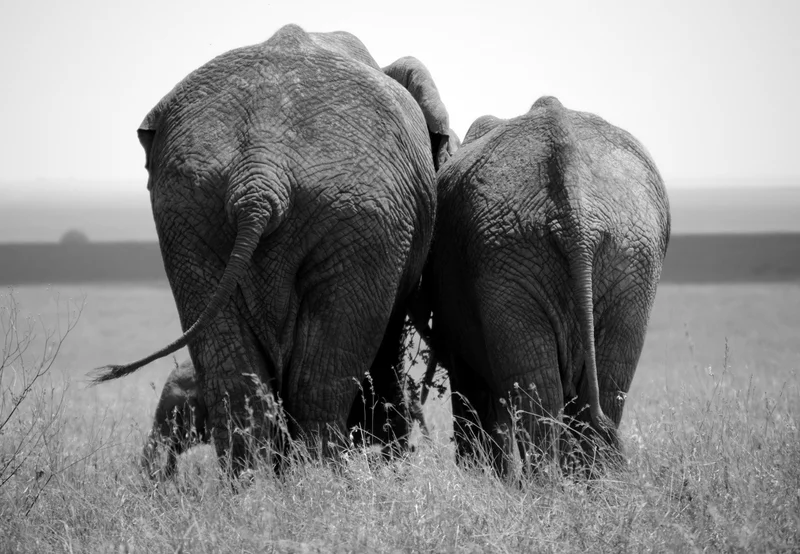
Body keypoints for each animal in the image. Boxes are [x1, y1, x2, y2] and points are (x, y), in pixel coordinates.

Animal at [92, 24, 453, 474]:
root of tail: (260, 176)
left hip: (188, 211)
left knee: (237, 378)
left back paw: (254, 487)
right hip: (364, 217)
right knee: (320, 380)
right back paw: (322, 482)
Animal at [415, 96, 670, 478]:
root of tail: (577, 214)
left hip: (604, 254)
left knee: (561, 394)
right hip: (599, 259)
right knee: (580, 391)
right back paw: (578, 487)